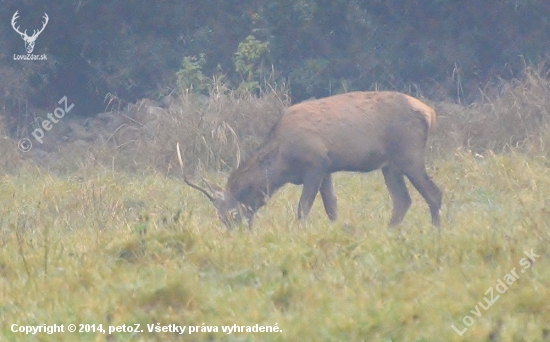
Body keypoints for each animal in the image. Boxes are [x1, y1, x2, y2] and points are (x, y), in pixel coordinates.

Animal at [181, 91, 444, 230]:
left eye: (230, 214)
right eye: (220, 217)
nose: (234, 235)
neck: (283, 163)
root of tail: (430, 114)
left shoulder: (316, 165)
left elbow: (303, 208)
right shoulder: (327, 169)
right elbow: (332, 208)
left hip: (409, 155)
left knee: (434, 193)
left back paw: (436, 233)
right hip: (390, 165)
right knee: (402, 200)